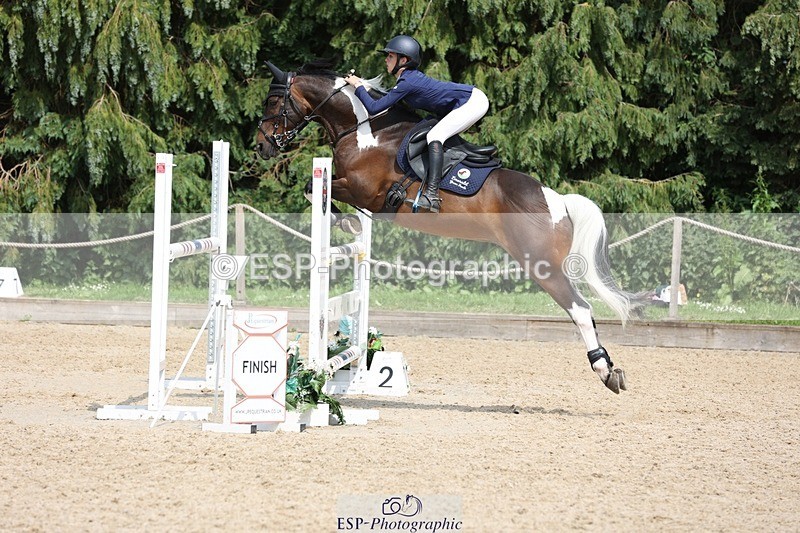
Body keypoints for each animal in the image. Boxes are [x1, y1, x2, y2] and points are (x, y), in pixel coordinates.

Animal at [255, 59, 648, 394]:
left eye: (273, 101)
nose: (261, 146)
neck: (366, 131)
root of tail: (557, 199)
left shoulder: (364, 190)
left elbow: (315, 189)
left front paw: (347, 221)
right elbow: (320, 193)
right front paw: (351, 222)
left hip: (542, 265)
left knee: (580, 309)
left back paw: (604, 370)